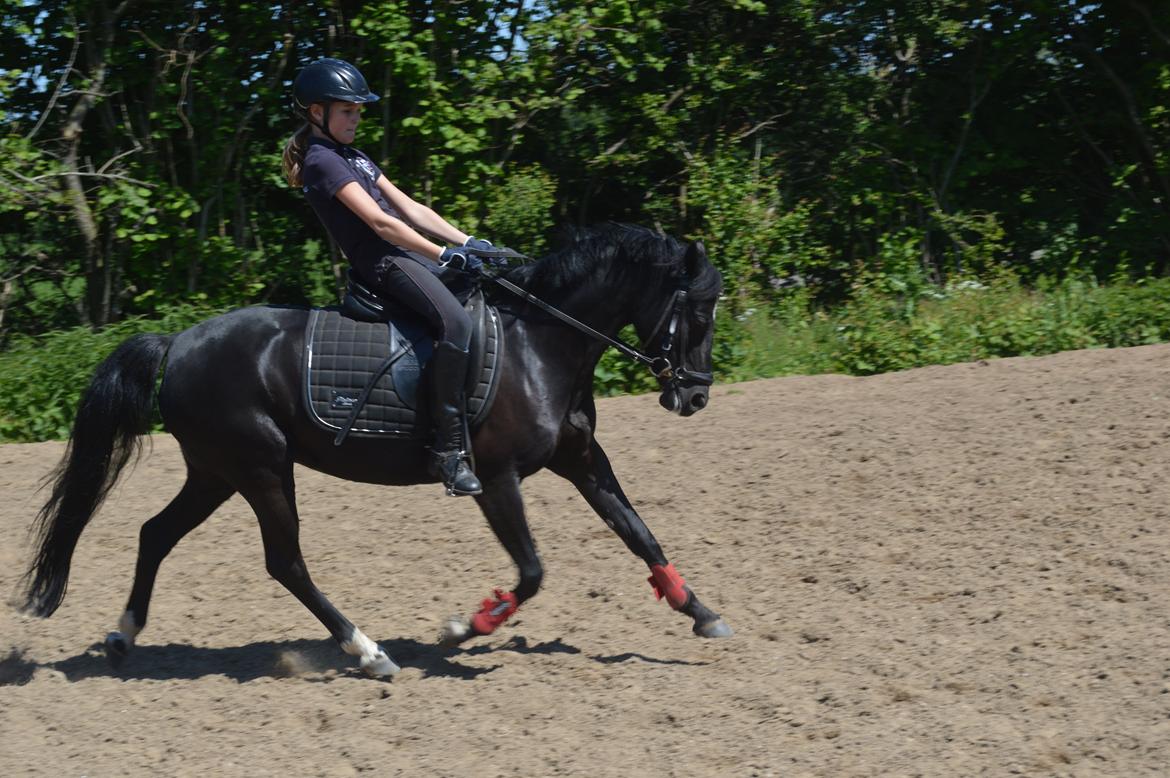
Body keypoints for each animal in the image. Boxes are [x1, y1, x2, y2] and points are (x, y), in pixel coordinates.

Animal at [18, 223, 730, 673]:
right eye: (698, 312)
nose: (696, 397)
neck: (541, 343)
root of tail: (179, 343)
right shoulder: (497, 477)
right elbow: (531, 572)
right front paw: (468, 626)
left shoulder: (582, 461)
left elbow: (639, 533)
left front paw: (700, 612)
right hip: (260, 468)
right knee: (285, 562)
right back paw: (367, 651)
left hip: (216, 472)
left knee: (155, 534)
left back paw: (123, 636)